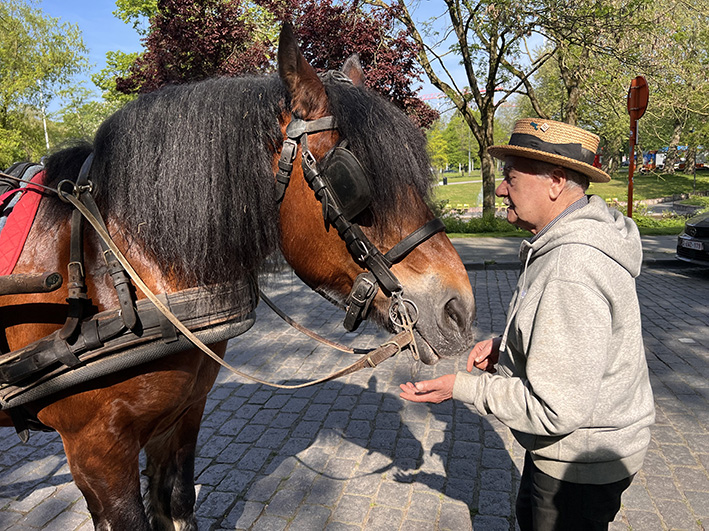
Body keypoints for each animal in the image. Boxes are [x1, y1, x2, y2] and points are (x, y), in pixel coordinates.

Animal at [1, 27, 476, 528]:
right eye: (351, 181)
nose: (459, 311)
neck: (120, 261)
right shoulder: (97, 455)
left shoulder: (180, 417)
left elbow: (177, 502)